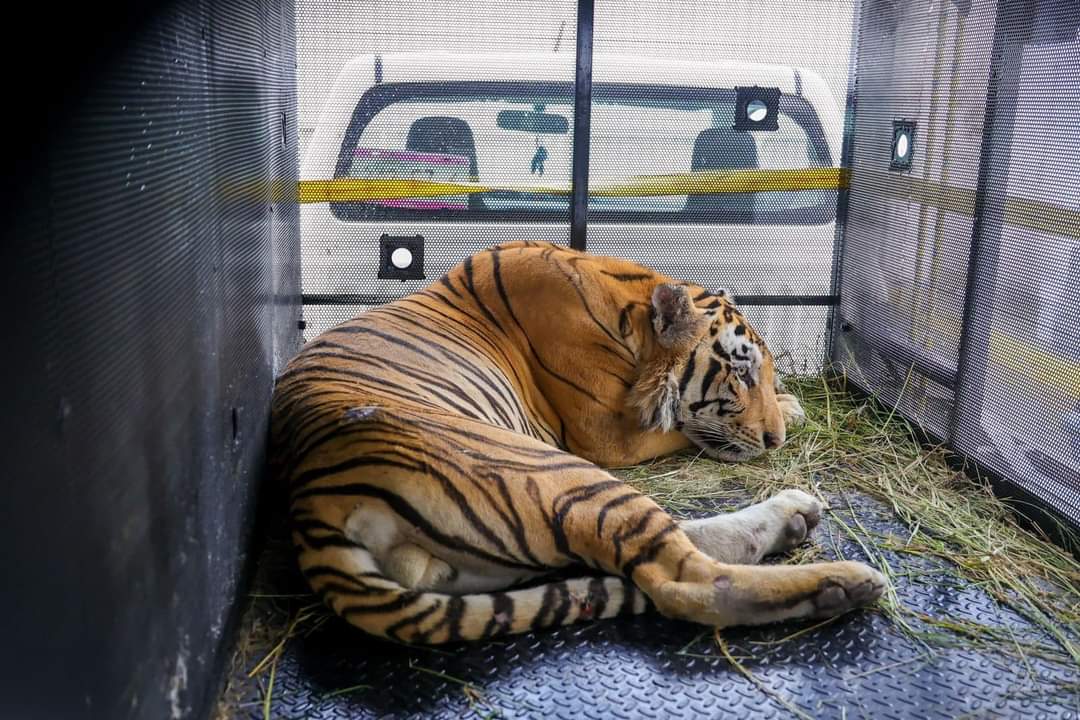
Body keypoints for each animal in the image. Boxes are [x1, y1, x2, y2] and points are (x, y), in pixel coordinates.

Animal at [271, 241, 886, 644]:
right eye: (740, 372)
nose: (773, 438)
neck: (629, 310)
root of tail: (310, 505)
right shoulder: (605, 434)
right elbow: (682, 430)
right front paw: (793, 409)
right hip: (548, 466)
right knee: (686, 582)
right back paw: (844, 583)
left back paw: (796, 515)